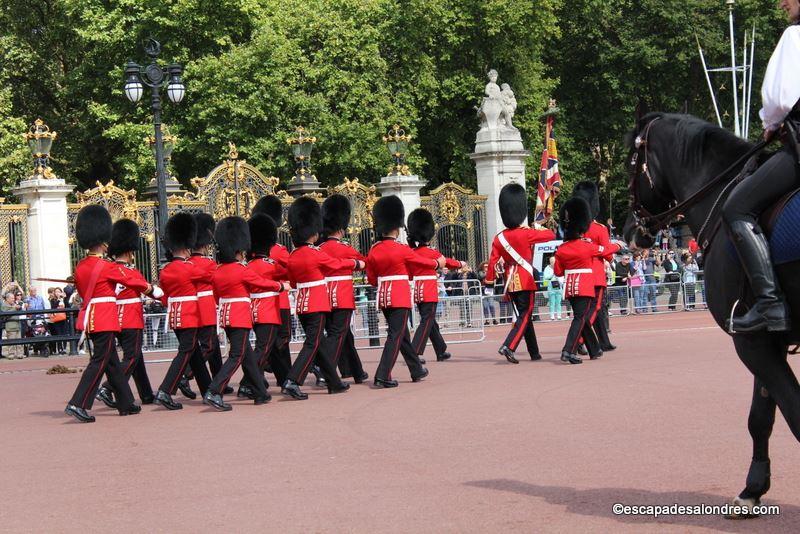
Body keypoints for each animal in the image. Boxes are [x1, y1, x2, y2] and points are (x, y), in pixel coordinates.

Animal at [624, 113, 800, 520]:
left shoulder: (750, 341)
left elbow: (791, 411)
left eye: (629, 162)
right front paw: (753, 489)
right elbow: (761, 417)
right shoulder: (767, 340)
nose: (627, 232)